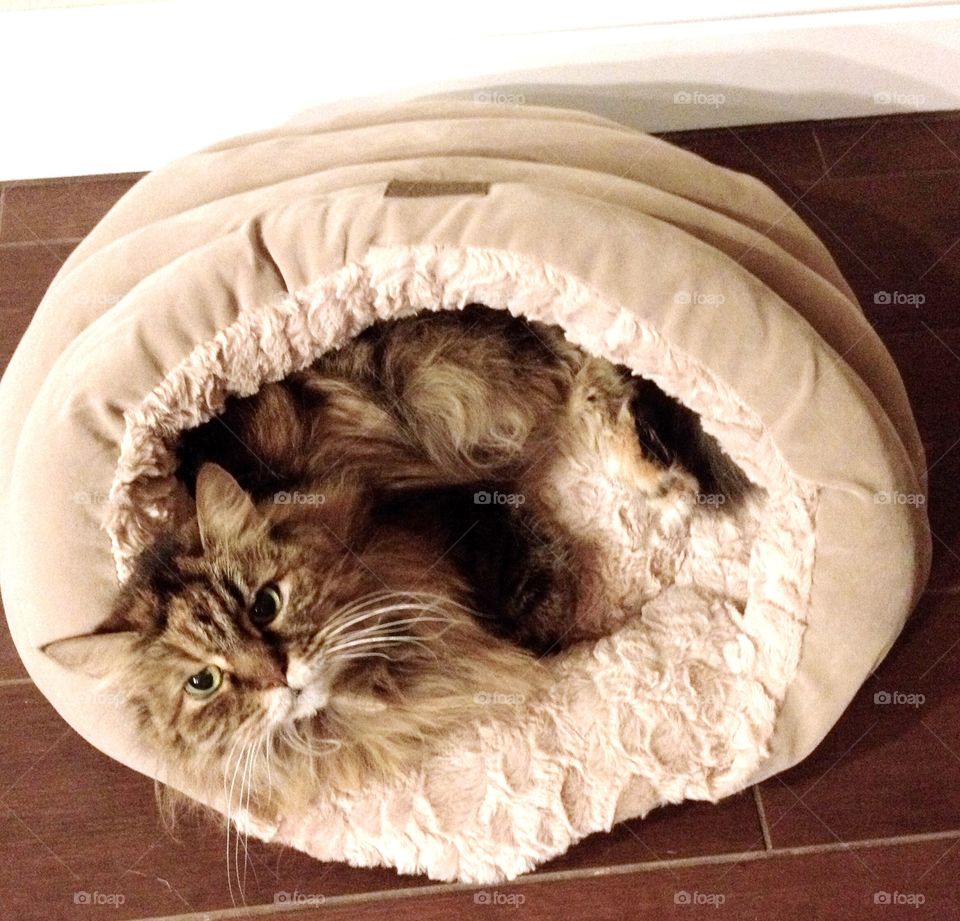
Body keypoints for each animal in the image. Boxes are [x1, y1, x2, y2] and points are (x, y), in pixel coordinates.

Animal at [43, 306, 752, 832]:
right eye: (203, 683)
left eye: (265, 604)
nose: (279, 678)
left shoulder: (470, 509)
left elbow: (539, 603)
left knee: (601, 371)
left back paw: (665, 483)